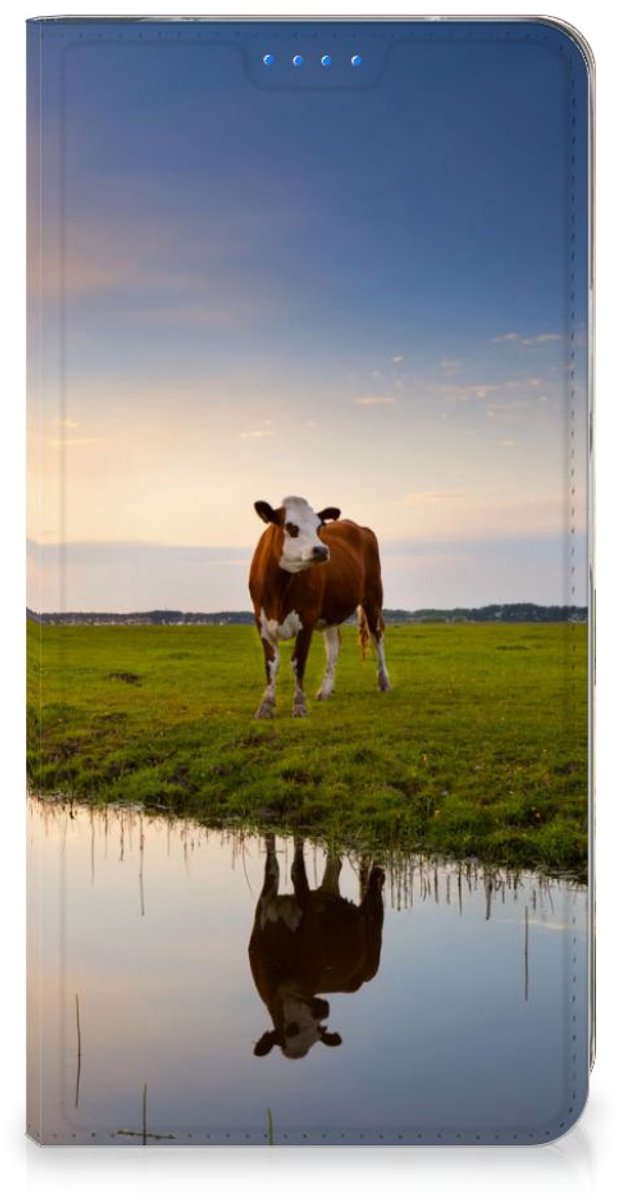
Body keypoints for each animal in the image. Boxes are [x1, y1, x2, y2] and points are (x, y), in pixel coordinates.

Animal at [248, 496, 390, 718]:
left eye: (318, 527)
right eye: (291, 527)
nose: (322, 550)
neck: (278, 590)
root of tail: (359, 527)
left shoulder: (306, 619)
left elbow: (298, 662)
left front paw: (299, 705)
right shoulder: (262, 621)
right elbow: (271, 664)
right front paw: (266, 705)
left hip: (373, 597)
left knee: (377, 637)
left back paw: (384, 682)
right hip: (330, 613)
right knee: (334, 644)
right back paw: (326, 689)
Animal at [248, 835, 385, 1059]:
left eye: (319, 1030)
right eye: (291, 1029)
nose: (323, 1010)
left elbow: (297, 870)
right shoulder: (264, 906)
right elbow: (273, 863)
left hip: (373, 945)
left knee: (374, 901)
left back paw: (378, 875)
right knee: (334, 865)